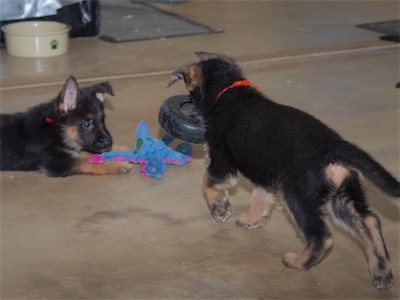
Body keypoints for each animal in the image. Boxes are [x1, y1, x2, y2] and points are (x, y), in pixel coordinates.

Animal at [0, 76, 133, 177]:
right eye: (86, 124)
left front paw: (119, 149)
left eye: (103, 120)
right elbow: (84, 161)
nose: (109, 143)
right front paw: (116, 165)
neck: (56, 128)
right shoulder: (52, 159)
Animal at [169, 52, 400, 290]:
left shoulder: (221, 161)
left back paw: (298, 261)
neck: (228, 91)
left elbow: (207, 183)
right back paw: (382, 273)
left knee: (322, 236)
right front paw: (252, 220)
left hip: (298, 196)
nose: (188, 105)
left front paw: (220, 209)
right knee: (369, 221)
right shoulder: (265, 177)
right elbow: (260, 200)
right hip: (343, 197)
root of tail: (333, 147)